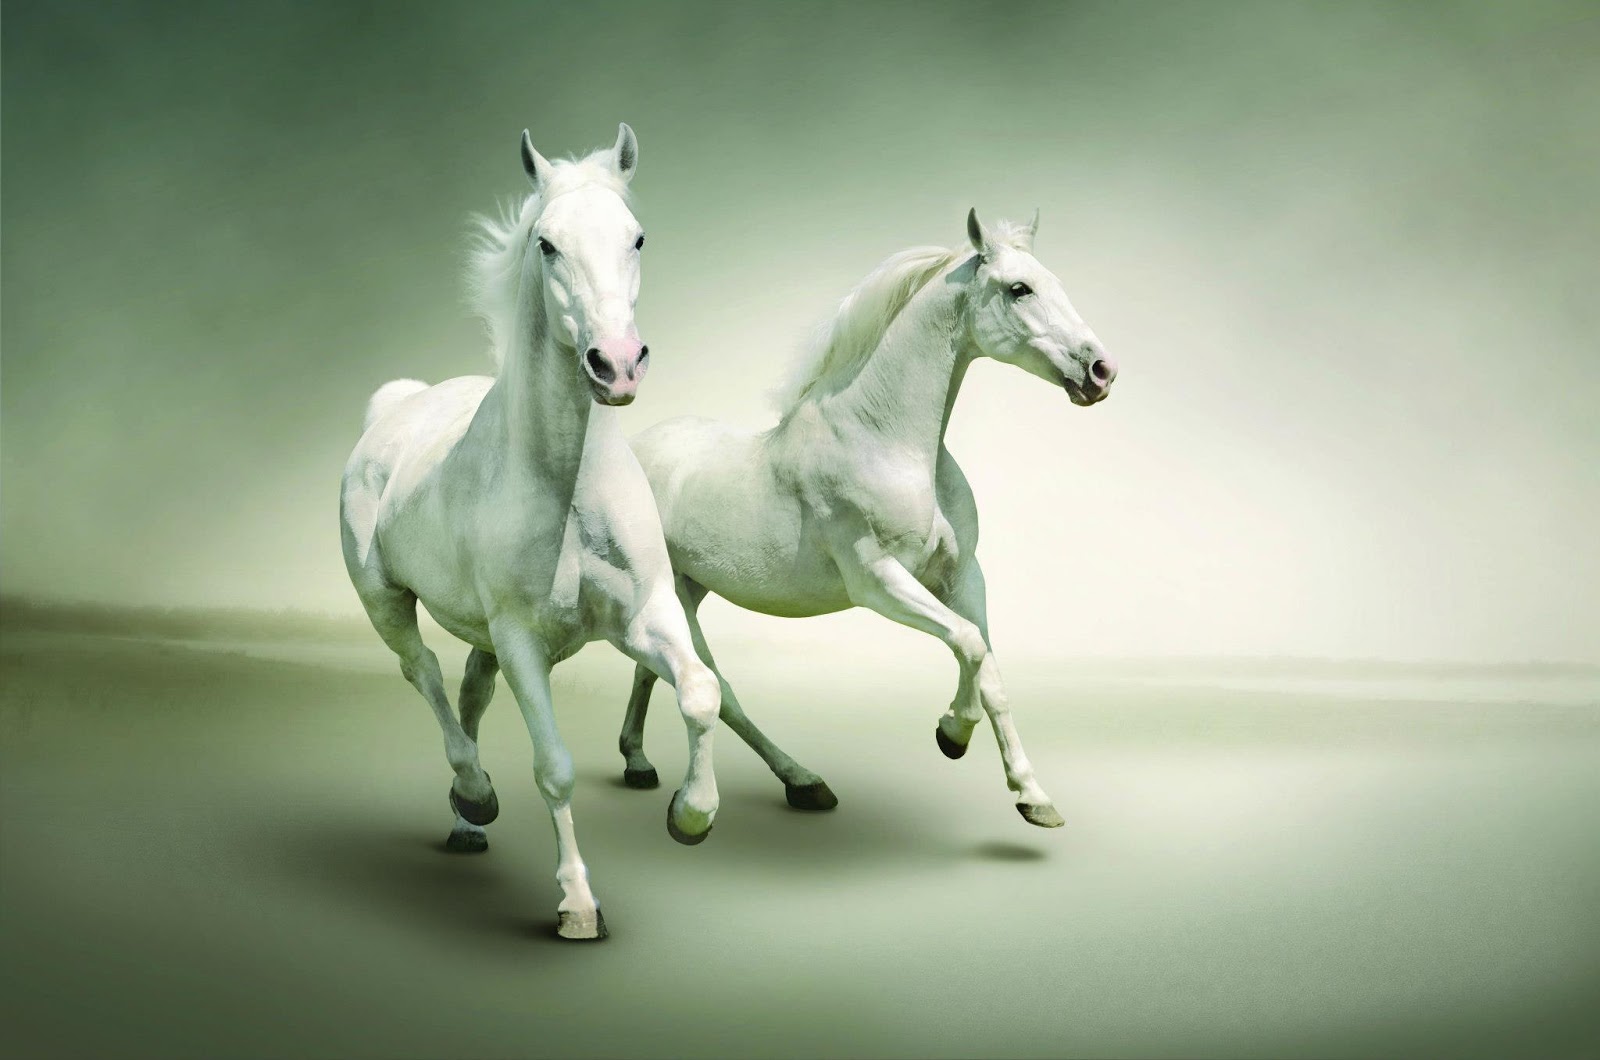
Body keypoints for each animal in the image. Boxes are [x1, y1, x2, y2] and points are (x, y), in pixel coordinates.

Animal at [340, 124, 721, 941]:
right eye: (547, 244)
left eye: (637, 236)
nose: (617, 364)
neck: (567, 487)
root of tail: (396, 406)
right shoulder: (522, 642)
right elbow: (555, 767)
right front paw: (577, 905)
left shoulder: (644, 616)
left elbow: (701, 691)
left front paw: (690, 815)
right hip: (386, 601)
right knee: (423, 673)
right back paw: (475, 794)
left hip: (480, 634)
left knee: (468, 691)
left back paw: (466, 820)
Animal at [618, 208, 1116, 829]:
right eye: (1019, 288)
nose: (1101, 371)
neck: (886, 441)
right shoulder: (878, 581)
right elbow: (969, 645)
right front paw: (952, 733)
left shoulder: (963, 576)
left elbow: (991, 671)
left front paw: (1033, 796)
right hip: (676, 596)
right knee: (716, 688)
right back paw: (795, 783)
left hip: (687, 588)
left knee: (653, 669)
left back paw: (640, 763)